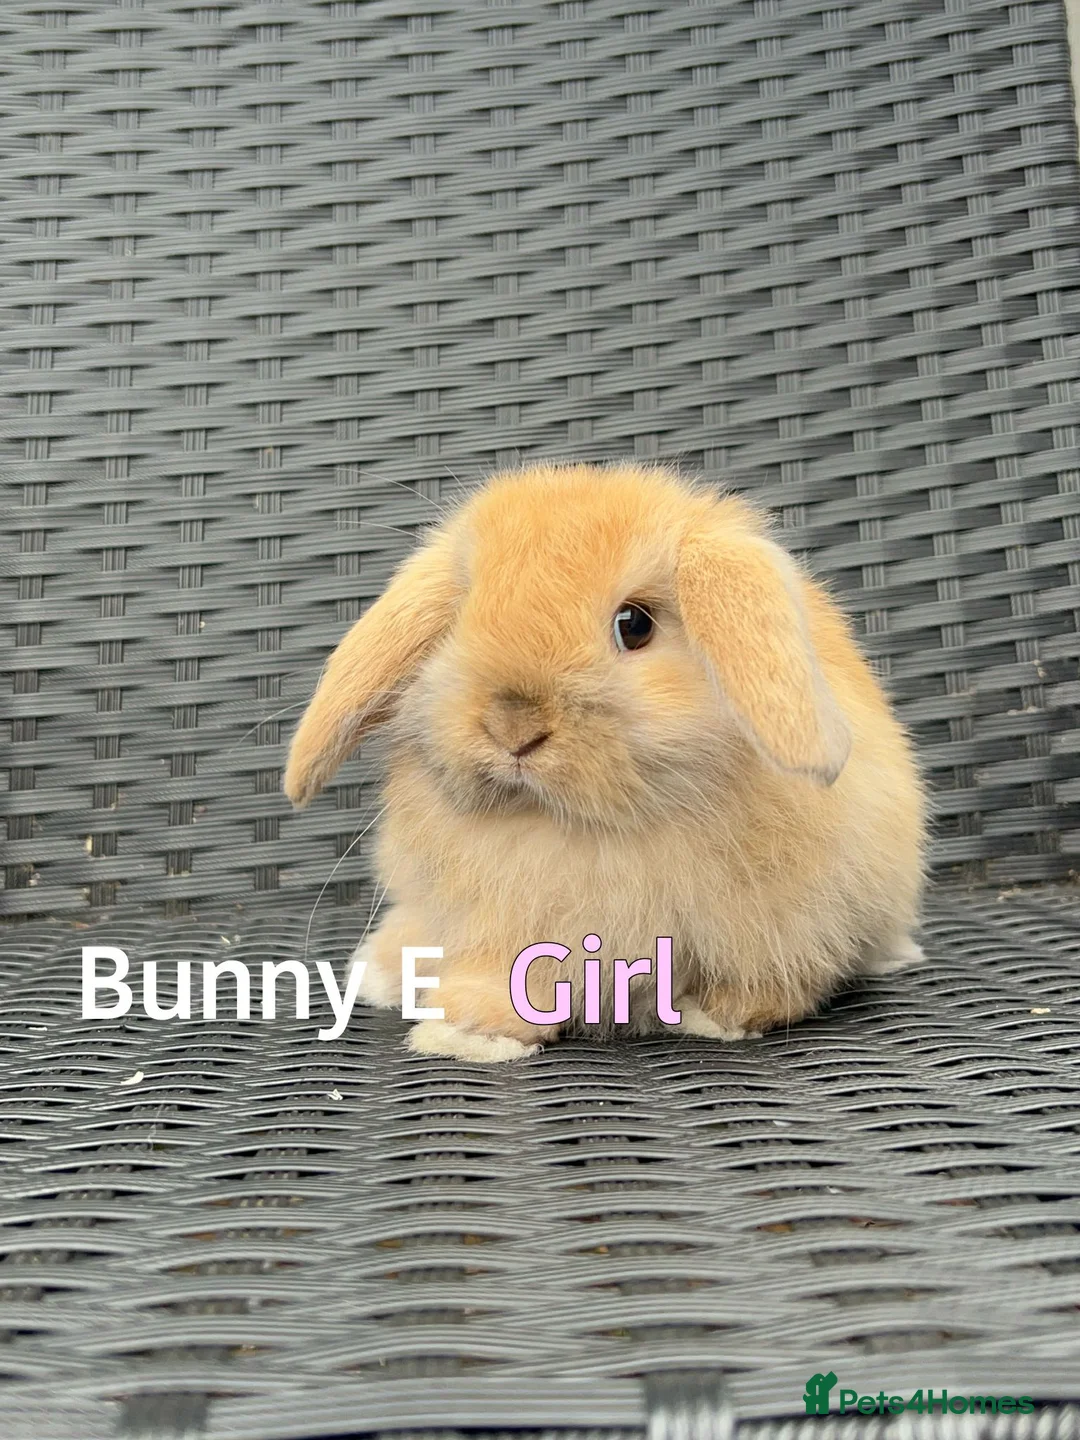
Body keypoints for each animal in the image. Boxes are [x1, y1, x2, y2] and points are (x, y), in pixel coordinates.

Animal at [284, 462, 926, 1062]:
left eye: (634, 623)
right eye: (460, 615)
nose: (513, 725)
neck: (576, 830)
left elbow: (774, 980)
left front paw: (718, 1016)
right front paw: (466, 1032)